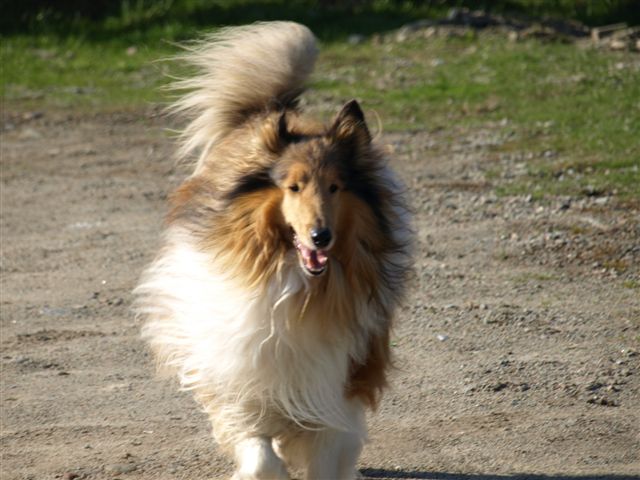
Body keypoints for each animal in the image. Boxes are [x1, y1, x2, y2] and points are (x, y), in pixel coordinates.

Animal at [135, 21, 412, 479]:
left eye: (335, 187)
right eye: (293, 186)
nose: (321, 237)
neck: (296, 282)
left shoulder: (338, 379)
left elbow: (325, 453)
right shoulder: (241, 371)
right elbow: (261, 453)